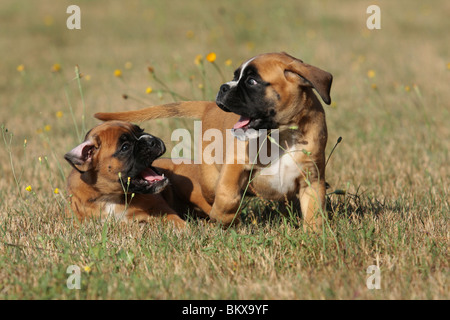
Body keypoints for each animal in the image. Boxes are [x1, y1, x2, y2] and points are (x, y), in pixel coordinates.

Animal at [95, 52, 332, 230]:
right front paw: (223, 217)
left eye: (252, 81)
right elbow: (226, 196)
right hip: (209, 180)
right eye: (236, 76)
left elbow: (315, 211)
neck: (281, 134)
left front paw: (315, 236)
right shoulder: (235, 163)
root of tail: (209, 106)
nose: (223, 87)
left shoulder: (312, 179)